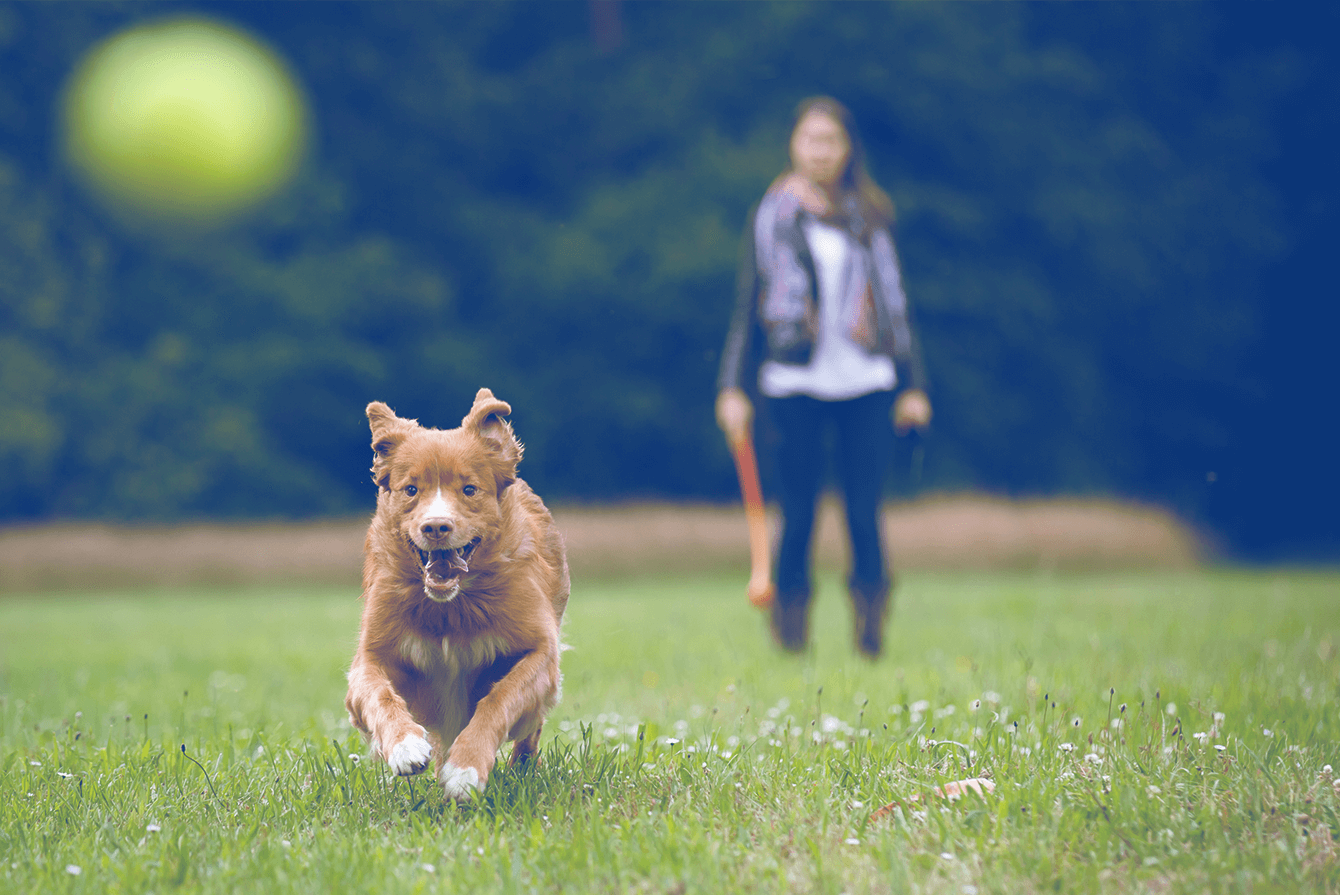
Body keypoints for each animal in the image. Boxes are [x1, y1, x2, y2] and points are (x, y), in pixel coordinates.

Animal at [343, 391, 568, 803]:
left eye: (469, 489)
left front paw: (466, 769)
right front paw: (405, 746)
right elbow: (379, 693)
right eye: (411, 489)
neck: (452, 607)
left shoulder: (540, 651)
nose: (435, 527)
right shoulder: (371, 655)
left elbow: (499, 698)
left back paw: (522, 768)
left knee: (530, 728)